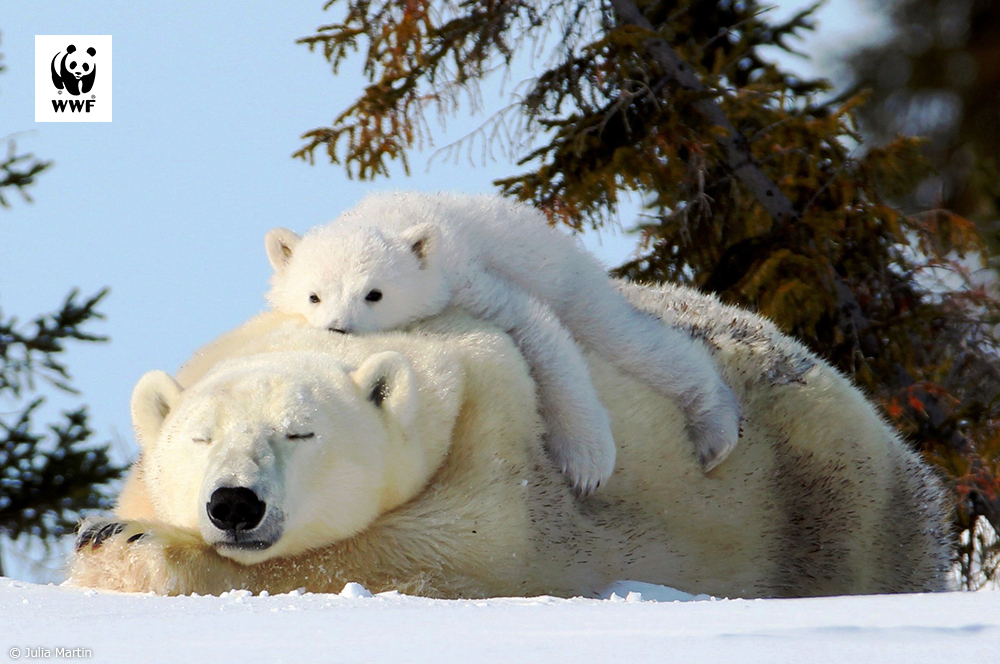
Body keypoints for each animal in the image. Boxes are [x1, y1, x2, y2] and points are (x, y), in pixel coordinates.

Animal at [72, 282, 952, 596]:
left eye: (300, 432)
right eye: (198, 438)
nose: (234, 504)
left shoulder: (499, 428)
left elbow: (450, 552)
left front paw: (131, 546)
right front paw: (111, 531)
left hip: (829, 491)